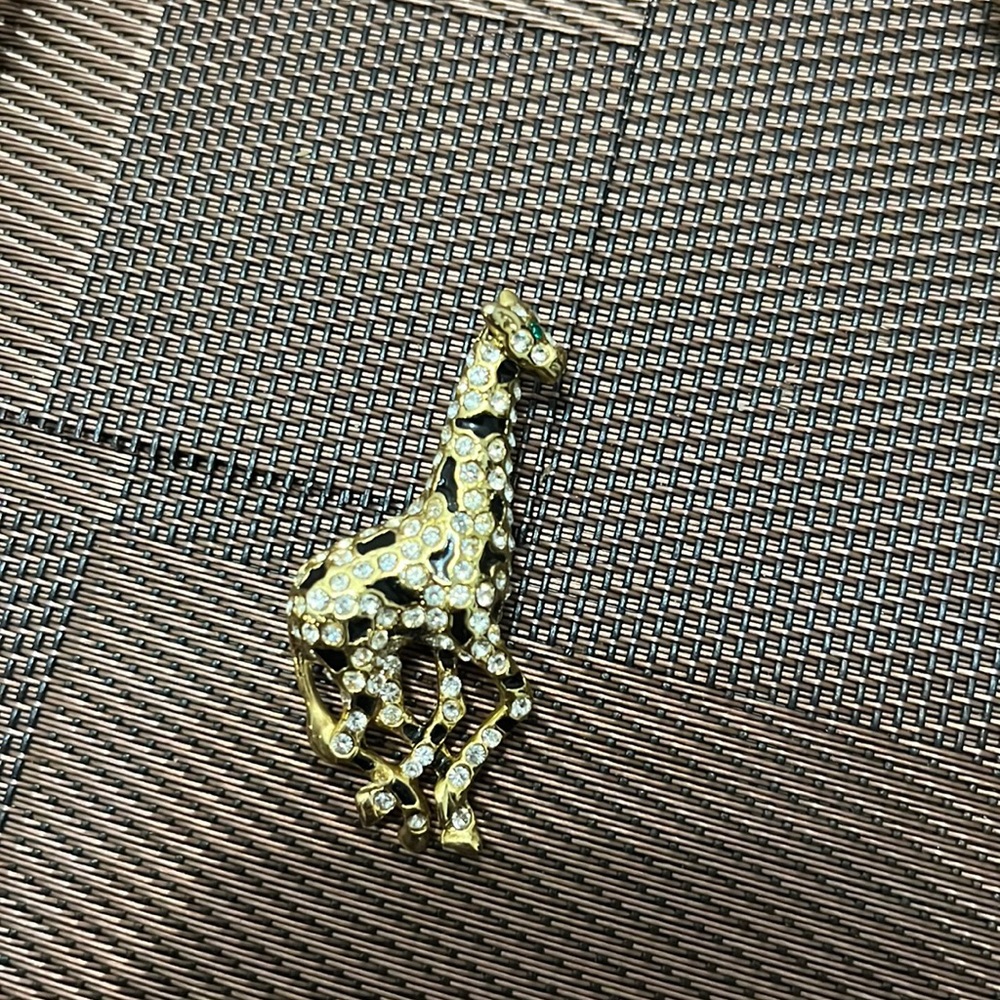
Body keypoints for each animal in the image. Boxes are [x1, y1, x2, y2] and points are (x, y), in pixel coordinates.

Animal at [287, 289, 567, 853]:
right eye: (530, 331)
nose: (557, 364)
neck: (463, 501)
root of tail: (295, 614)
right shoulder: (477, 631)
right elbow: (517, 701)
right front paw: (442, 807)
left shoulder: (446, 642)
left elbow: (453, 709)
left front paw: (454, 813)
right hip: (360, 664)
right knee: (351, 735)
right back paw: (399, 806)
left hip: (374, 662)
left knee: (372, 725)